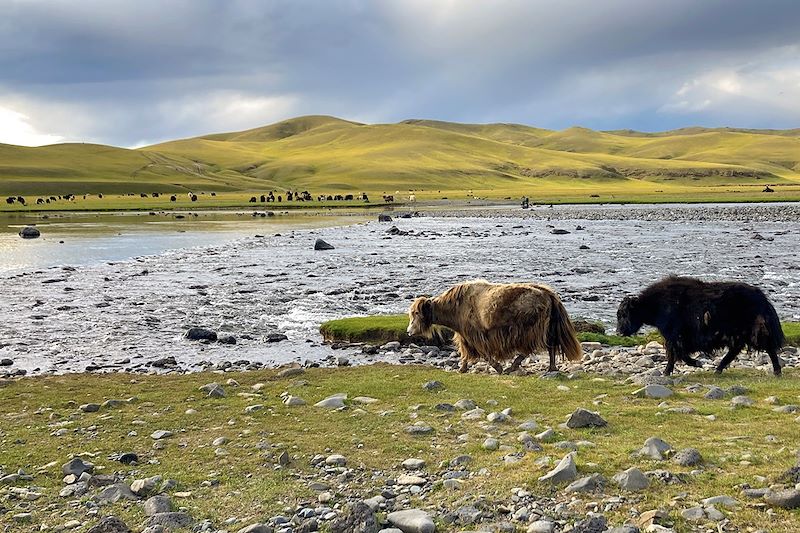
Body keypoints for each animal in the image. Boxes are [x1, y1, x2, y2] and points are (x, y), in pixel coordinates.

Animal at [410, 278, 580, 374]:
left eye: (416, 313)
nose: (409, 331)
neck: (455, 307)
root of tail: (548, 294)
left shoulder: (474, 333)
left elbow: (482, 353)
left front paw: (498, 368)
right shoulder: (465, 334)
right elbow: (465, 352)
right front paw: (462, 368)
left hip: (529, 328)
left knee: (531, 347)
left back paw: (512, 367)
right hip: (548, 326)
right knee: (551, 345)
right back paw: (551, 367)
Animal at [616, 276, 784, 376]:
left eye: (624, 314)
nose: (618, 332)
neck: (654, 305)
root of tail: (762, 297)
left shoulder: (674, 334)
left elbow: (677, 352)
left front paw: (695, 363)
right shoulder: (673, 336)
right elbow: (675, 353)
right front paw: (669, 371)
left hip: (753, 331)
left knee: (768, 347)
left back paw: (777, 371)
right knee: (736, 350)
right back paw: (718, 370)